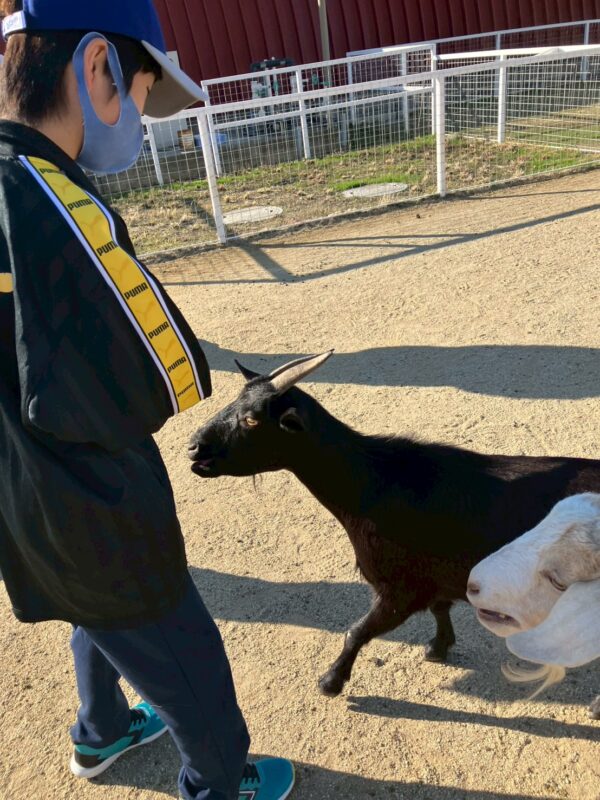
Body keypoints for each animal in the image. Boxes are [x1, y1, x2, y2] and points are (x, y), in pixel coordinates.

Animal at [188, 352, 600, 697]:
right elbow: (439, 609)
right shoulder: (435, 580)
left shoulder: (398, 589)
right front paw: (438, 648)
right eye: (234, 402)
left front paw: (330, 682)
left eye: (252, 419)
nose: (194, 447)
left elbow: (356, 631)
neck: (375, 484)